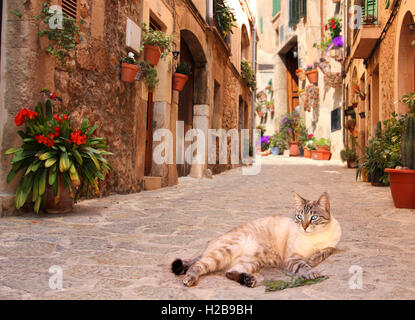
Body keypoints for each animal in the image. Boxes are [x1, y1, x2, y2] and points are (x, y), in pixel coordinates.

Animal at [171, 192, 342, 288]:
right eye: (299, 217)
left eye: (313, 218)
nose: (304, 227)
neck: (315, 237)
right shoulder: (292, 259)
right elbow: (305, 266)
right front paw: (312, 272)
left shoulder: (330, 246)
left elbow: (325, 251)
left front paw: (315, 258)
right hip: (224, 253)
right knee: (197, 266)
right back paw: (189, 280)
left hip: (252, 262)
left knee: (230, 272)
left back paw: (249, 281)